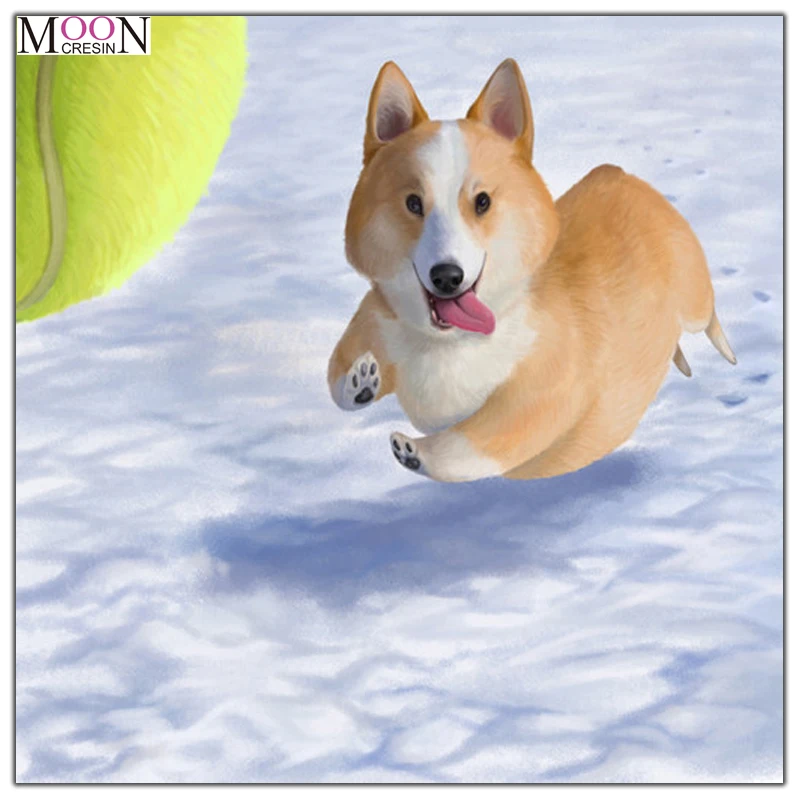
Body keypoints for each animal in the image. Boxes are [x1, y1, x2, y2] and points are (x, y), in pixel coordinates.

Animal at [328, 59, 736, 482]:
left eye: (483, 201)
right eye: (412, 203)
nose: (447, 277)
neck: (449, 343)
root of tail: (618, 173)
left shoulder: (546, 389)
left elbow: (474, 443)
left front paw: (412, 451)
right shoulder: (375, 323)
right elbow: (336, 380)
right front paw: (362, 380)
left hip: (692, 296)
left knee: (709, 315)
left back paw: (725, 353)